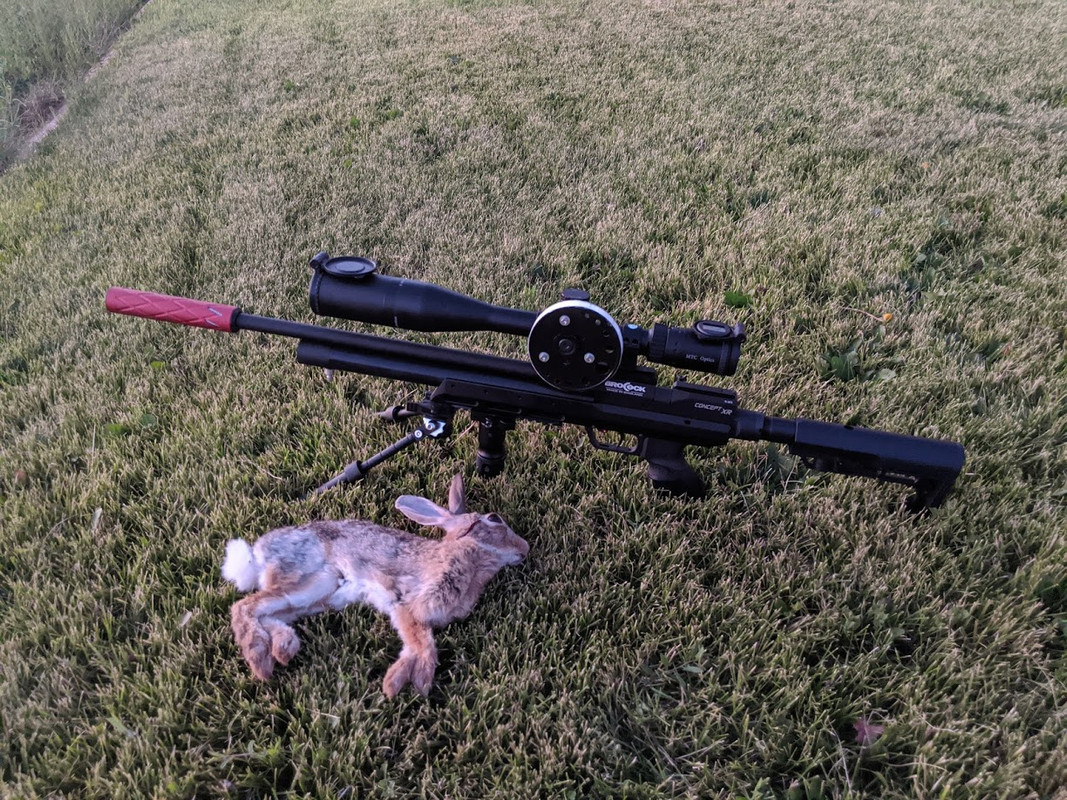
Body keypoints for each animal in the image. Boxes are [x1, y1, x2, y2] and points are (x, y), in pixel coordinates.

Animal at [220, 474, 528, 697]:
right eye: (495, 519)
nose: (525, 548)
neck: (468, 552)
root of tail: (259, 554)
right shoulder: (407, 604)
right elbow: (424, 644)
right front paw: (409, 684)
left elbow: (415, 644)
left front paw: (398, 680)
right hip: (313, 581)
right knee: (244, 607)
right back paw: (261, 658)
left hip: (318, 594)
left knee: (267, 611)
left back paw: (284, 646)